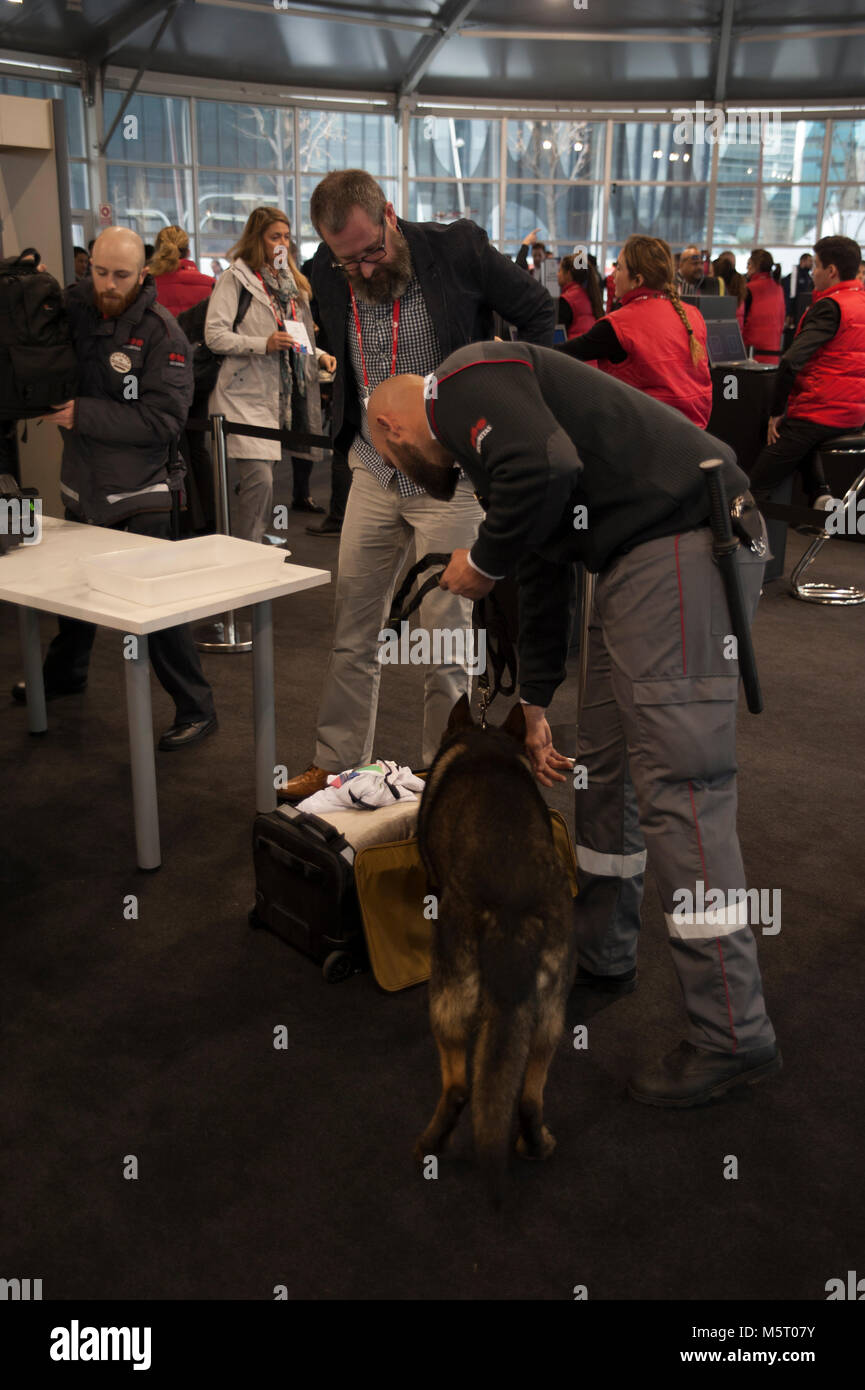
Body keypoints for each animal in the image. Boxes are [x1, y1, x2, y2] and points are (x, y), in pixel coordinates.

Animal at [414, 695, 575, 1206]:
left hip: (448, 997)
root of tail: (513, 905)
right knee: (529, 1097)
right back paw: (536, 1145)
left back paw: (430, 1143)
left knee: (459, 1088)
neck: (485, 741)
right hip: (549, 1017)